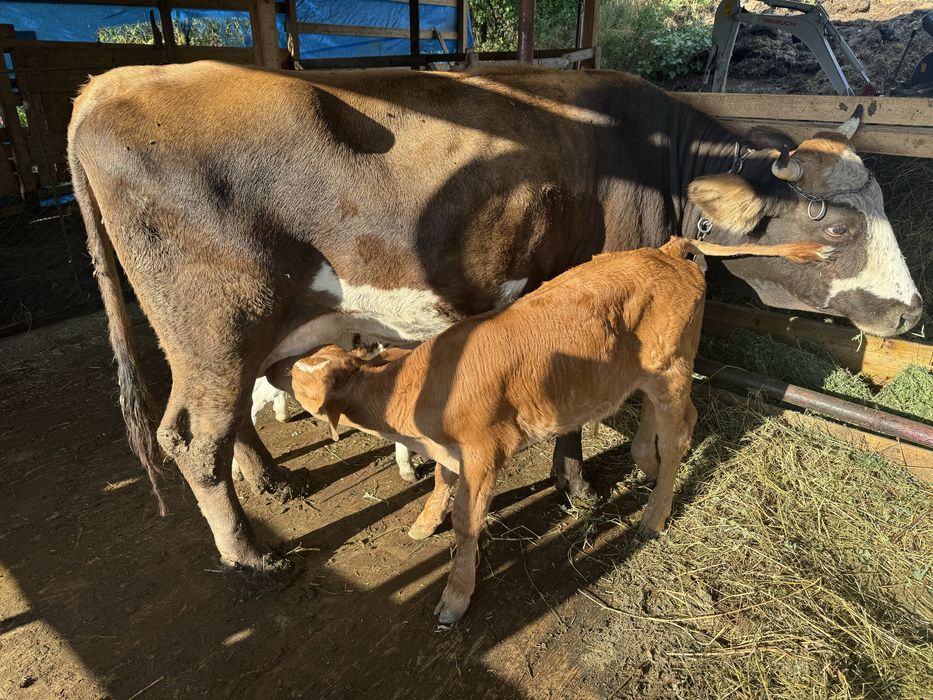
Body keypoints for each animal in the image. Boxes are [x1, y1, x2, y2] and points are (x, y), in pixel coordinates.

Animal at [67, 61, 922, 573]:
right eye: (837, 228)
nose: (912, 314)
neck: (660, 165)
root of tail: (113, 83)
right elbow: (581, 411)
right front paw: (578, 487)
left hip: (232, 331)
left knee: (229, 416)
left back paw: (272, 480)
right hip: (215, 320)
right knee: (192, 435)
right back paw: (250, 555)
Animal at [288, 237, 832, 622]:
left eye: (300, 377)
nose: (278, 371)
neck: (415, 387)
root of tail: (665, 250)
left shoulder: (484, 452)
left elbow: (466, 523)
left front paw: (455, 596)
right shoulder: (449, 452)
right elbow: (440, 482)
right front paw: (423, 523)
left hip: (672, 363)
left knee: (680, 432)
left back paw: (654, 514)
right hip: (651, 369)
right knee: (671, 418)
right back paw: (646, 462)